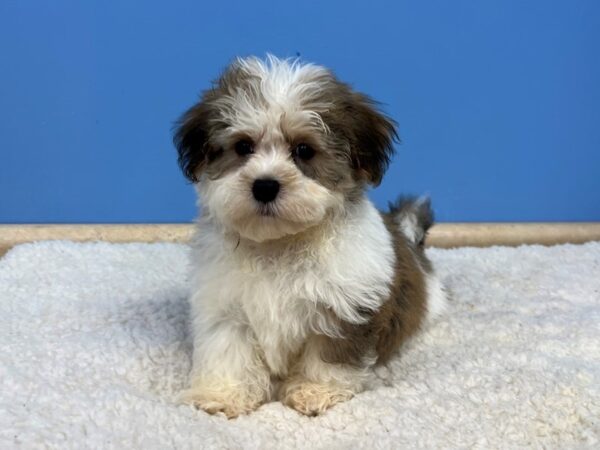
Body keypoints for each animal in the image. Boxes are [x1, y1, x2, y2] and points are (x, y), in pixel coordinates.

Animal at [173, 56, 446, 418]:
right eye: (243, 147)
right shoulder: (225, 307)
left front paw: (316, 390)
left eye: (304, 150)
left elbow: (329, 356)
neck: (279, 245)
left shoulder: (346, 307)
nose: (265, 185)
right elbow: (228, 350)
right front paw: (224, 394)